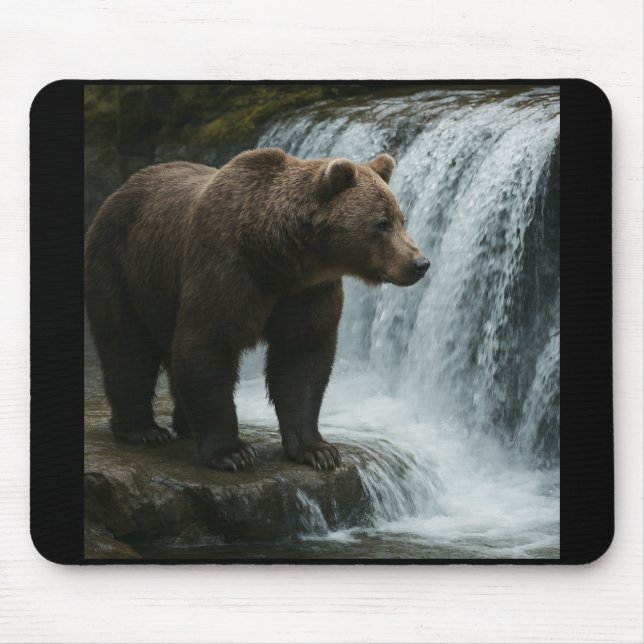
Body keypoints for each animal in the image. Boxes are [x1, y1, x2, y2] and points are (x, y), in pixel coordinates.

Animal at [85, 148, 429, 471]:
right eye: (382, 223)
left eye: (402, 219)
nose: (420, 263)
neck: (277, 257)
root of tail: (120, 189)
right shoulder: (225, 270)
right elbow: (207, 348)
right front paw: (233, 453)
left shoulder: (307, 292)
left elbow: (303, 360)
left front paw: (318, 450)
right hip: (121, 266)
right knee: (127, 348)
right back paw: (143, 430)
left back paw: (184, 426)